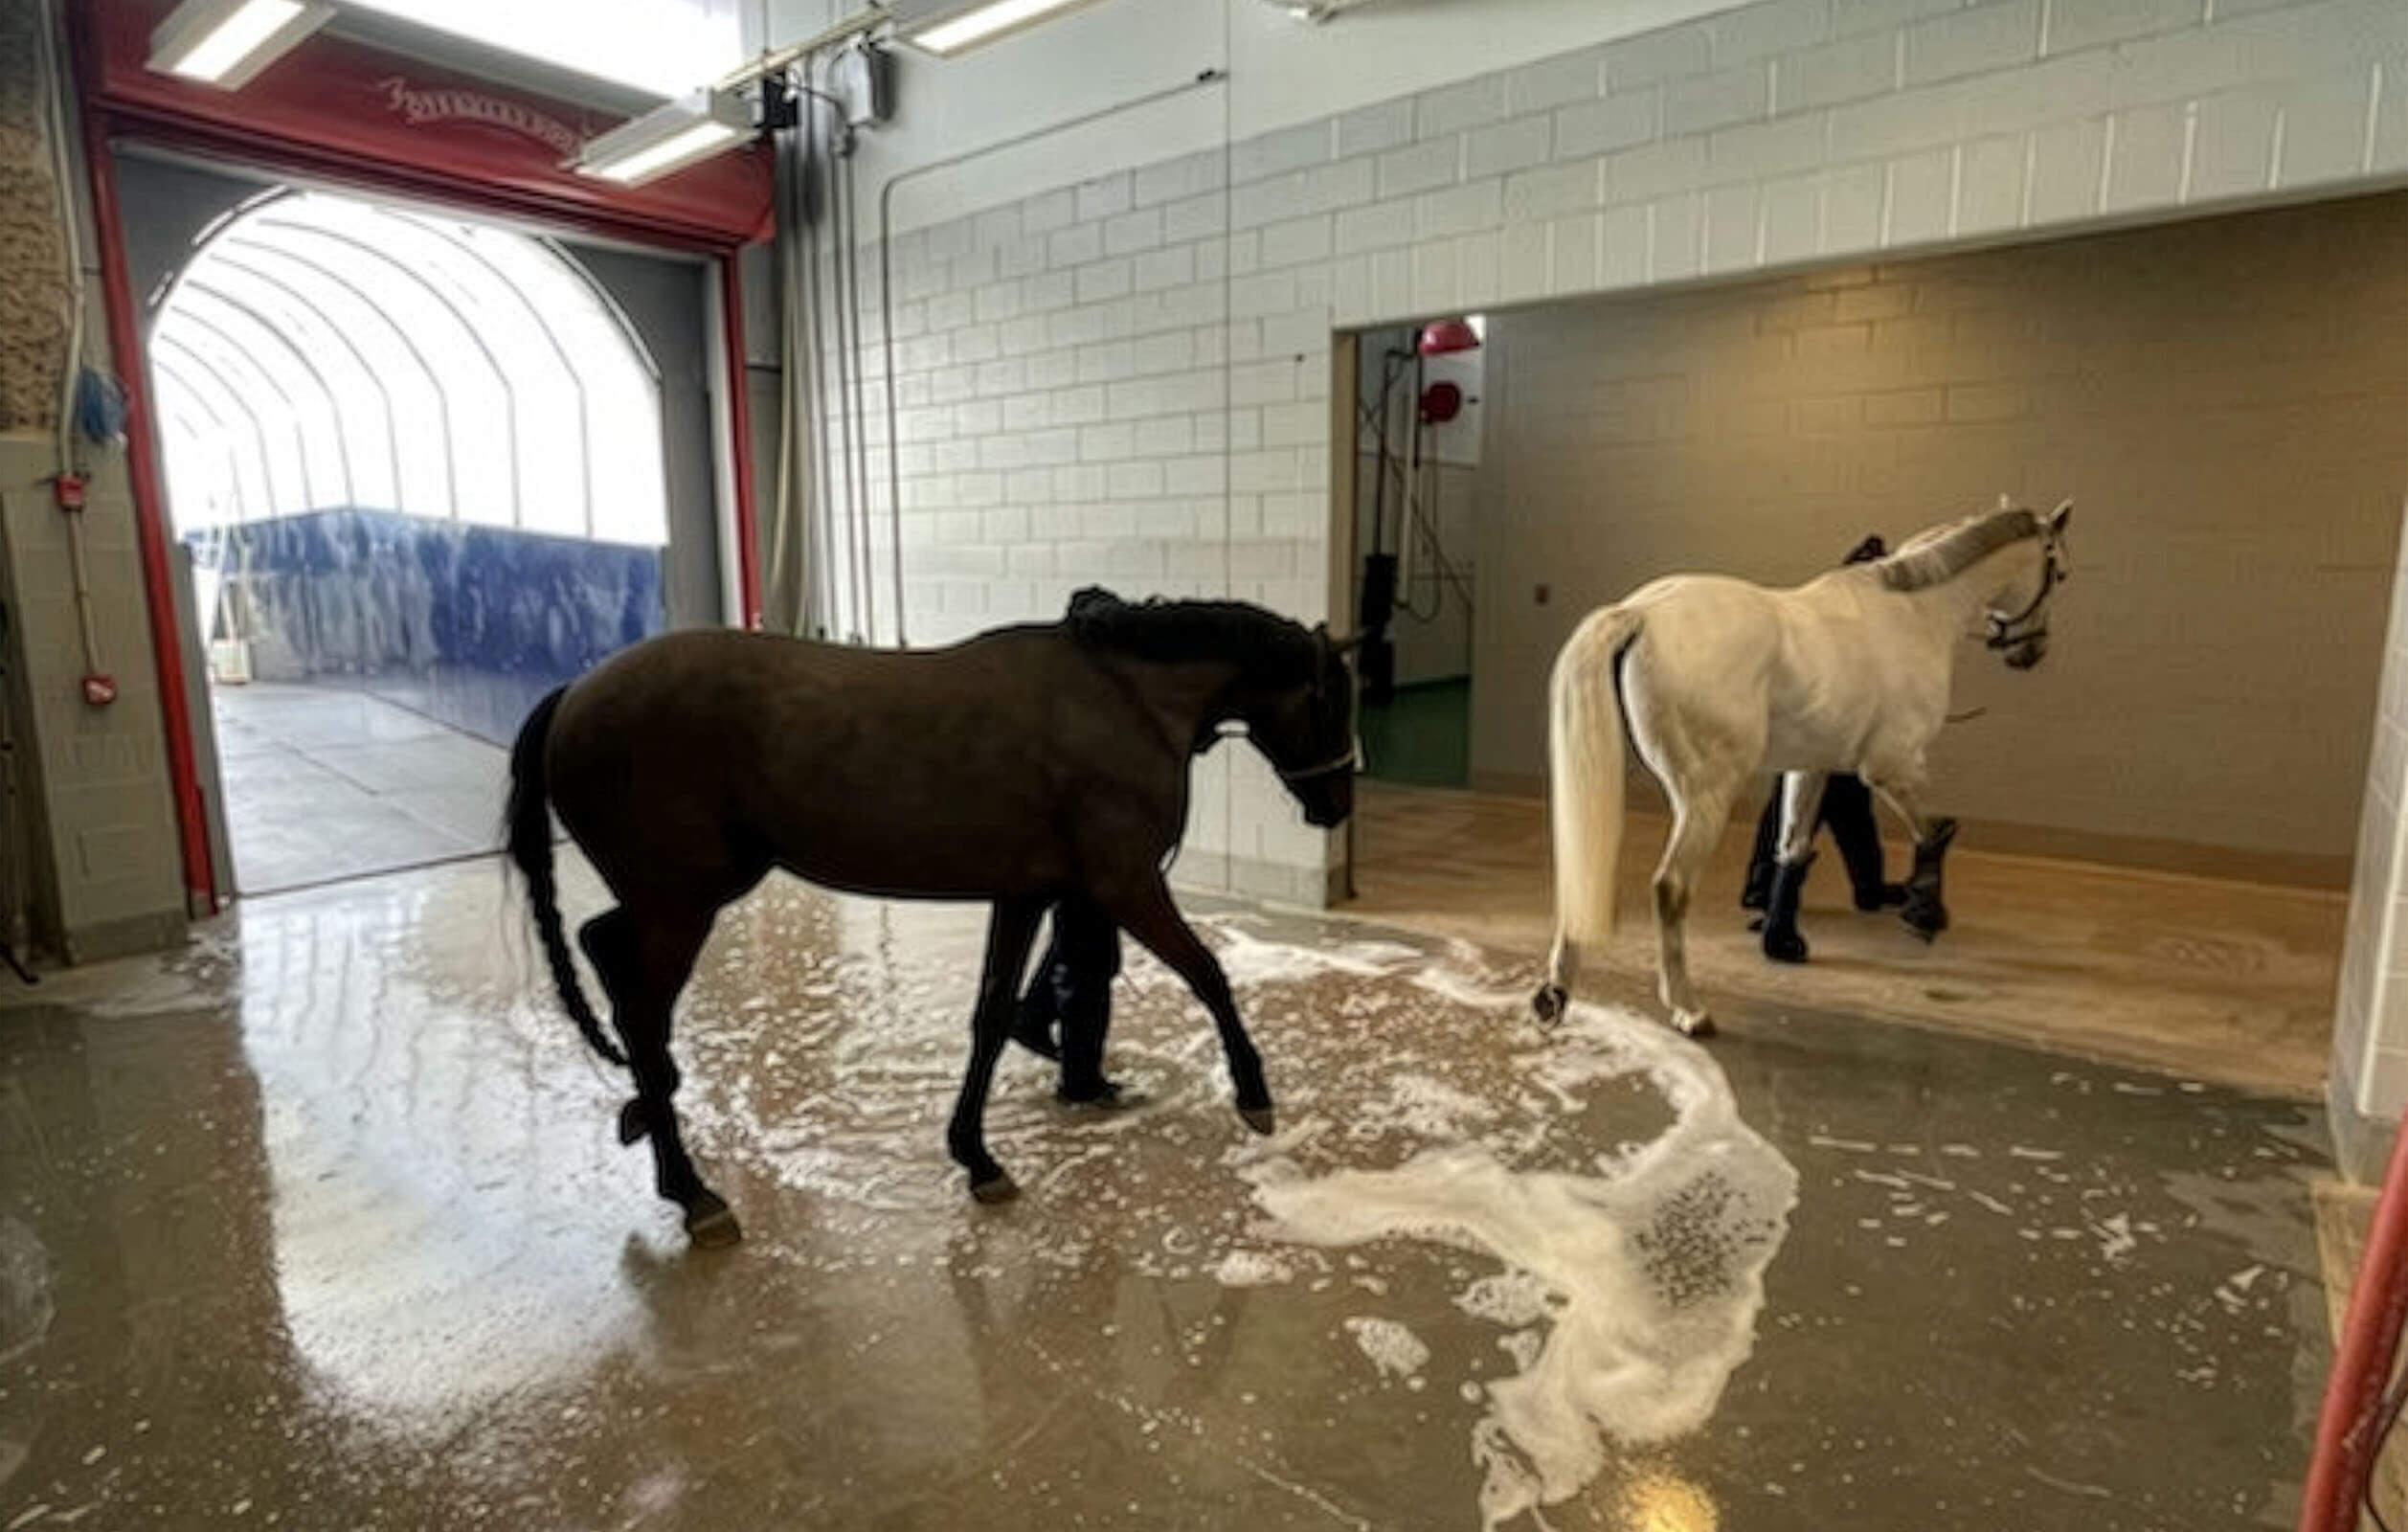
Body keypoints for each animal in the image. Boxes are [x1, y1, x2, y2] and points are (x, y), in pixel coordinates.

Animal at [505, 588, 1359, 1246]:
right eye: (1332, 702)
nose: (1335, 805)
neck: (1124, 698)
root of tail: (573, 695)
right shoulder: (1126, 885)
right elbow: (1208, 975)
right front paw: (1254, 1095)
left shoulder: (1027, 893)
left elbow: (991, 1017)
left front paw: (976, 1156)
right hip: (682, 906)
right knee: (641, 1014)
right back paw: (693, 1192)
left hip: (686, 894)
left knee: (605, 953)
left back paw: (649, 1126)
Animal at [1532, 499, 2073, 1038]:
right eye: (2060, 573)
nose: (2031, 651)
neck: (1918, 615)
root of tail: (1640, 613)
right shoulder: (1890, 765)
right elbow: (1935, 830)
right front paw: (1925, 910)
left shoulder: (1811, 767)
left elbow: (1791, 848)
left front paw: (1781, 939)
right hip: (1706, 797)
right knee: (1670, 888)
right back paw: (1688, 1008)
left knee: (1585, 872)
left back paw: (1555, 994)